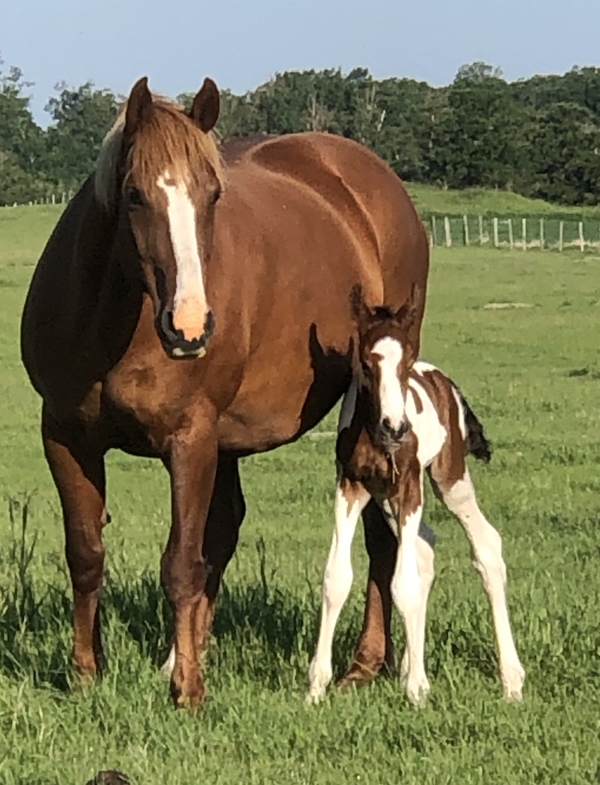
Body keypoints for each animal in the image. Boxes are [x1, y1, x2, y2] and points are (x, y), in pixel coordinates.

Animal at [20, 76, 430, 708]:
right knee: (225, 530)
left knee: (380, 541)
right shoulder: (65, 437)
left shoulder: (190, 440)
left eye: (212, 195)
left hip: (373, 415)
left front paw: (188, 690)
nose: (190, 327)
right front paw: (86, 674)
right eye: (134, 194)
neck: (112, 321)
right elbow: (87, 554)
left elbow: (182, 564)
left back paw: (363, 664)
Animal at [306, 287, 525, 705]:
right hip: (387, 499)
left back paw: (511, 678)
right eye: (366, 362)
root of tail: (445, 381)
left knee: (486, 545)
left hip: (448, 477)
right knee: (424, 548)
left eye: (404, 362)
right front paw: (316, 686)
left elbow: (401, 584)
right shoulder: (351, 485)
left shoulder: (409, 485)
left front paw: (416, 693)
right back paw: (413, 664)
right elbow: (336, 577)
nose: (396, 427)